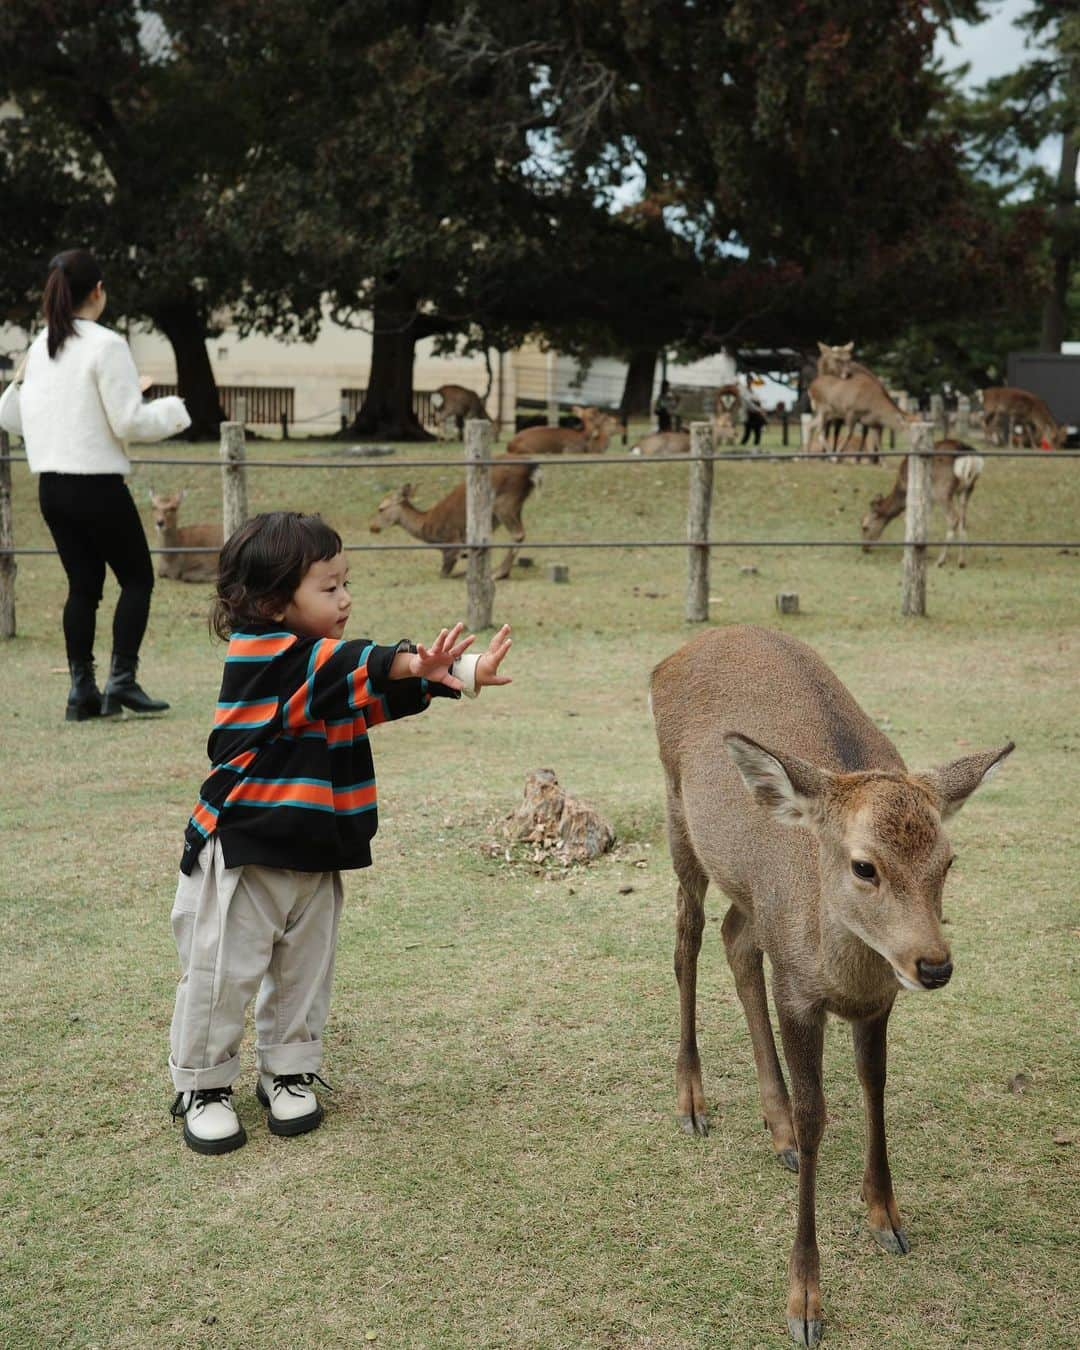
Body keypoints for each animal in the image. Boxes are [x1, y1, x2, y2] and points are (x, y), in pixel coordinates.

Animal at [367, 456, 540, 577]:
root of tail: (533, 469)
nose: (372, 526)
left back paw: (499, 573)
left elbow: (443, 573)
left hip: (504, 502)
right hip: (517, 504)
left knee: (518, 534)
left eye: (381, 508)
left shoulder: (452, 543)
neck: (427, 528)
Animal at [650, 626, 1015, 1344]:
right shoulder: (798, 991)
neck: (841, 974)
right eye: (864, 866)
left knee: (737, 939)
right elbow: (819, 1115)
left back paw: (776, 1128)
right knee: (688, 939)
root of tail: (669, 659)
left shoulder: (877, 1002)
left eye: (949, 860)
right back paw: (694, 1102)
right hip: (679, 820)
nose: (933, 965)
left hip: (752, 895)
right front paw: (804, 1302)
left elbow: (874, 1086)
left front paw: (887, 1216)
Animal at [858, 440, 988, 567]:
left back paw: (940, 561)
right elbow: (925, 522)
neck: (902, 489)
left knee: (953, 518)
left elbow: (910, 521)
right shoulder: (929, 500)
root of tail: (970, 456)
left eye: (865, 527)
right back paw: (961, 561)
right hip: (966, 490)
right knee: (963, 520)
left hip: (942, 490)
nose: (864, 548)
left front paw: (906, 559)